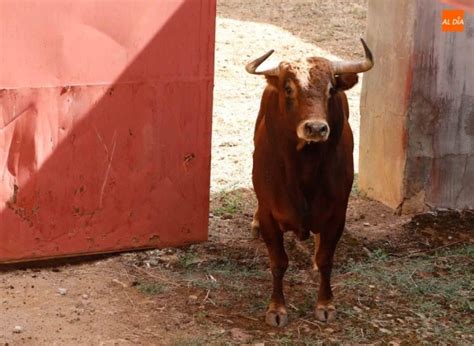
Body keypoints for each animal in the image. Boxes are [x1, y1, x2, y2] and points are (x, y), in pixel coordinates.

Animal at [246, 40, 372, 328]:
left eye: (330, 89)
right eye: (289, 88)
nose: (315, 128)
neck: (304, 170)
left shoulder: (337, 214)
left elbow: (326, 259)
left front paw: (325, 304)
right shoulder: (270, 215)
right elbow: (279, 262)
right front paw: (277, 309)